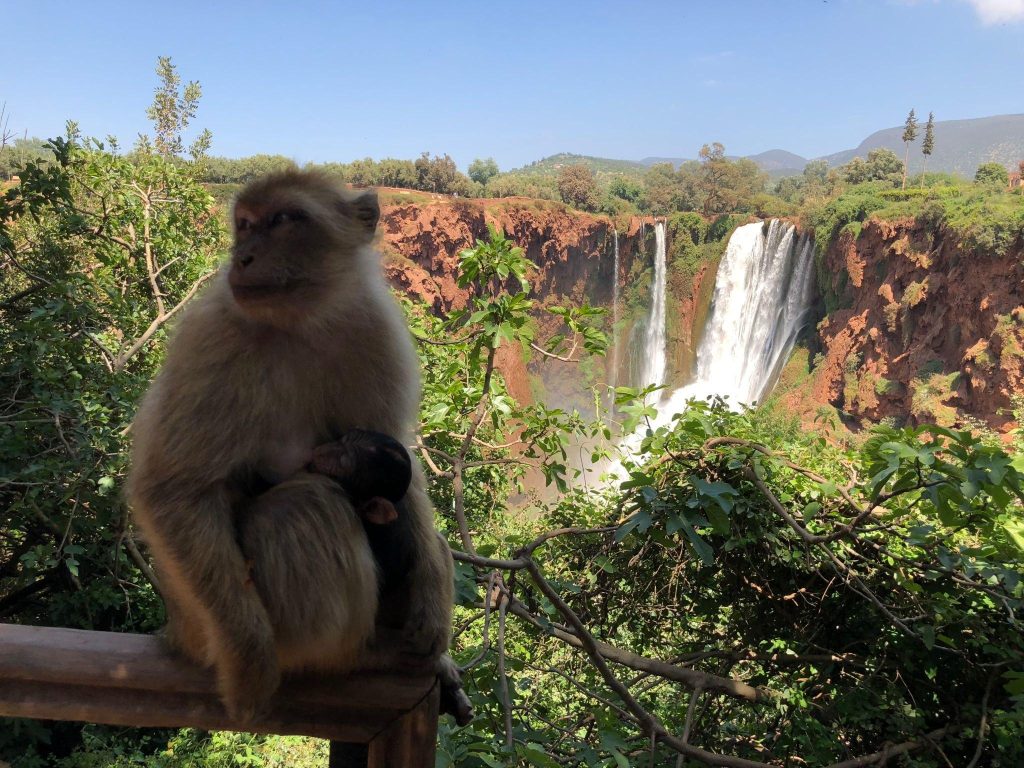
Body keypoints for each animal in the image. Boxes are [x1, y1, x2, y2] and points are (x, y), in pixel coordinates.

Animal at [125, 169, 466, 729]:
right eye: (244, 224)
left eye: (284, 219)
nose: (242, 256)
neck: (300, 322)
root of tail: (177, 631)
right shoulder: (212, 336)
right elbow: (173, 489)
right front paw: (251, 665)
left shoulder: (373, 330)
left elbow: (399, 456)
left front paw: (433, 596)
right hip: (211, 628)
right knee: (305, 505)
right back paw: (358, 655)